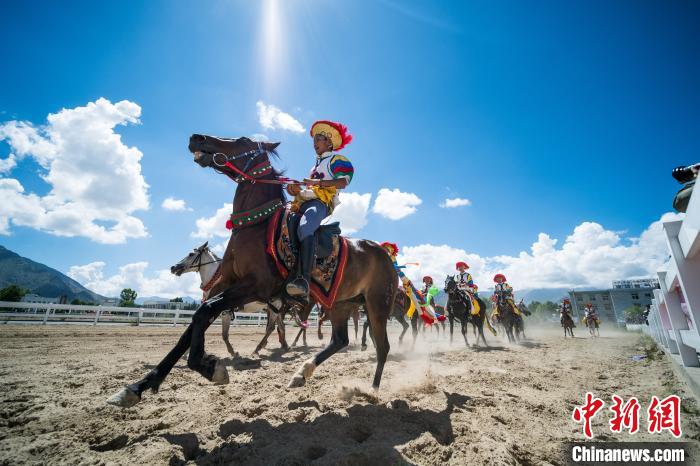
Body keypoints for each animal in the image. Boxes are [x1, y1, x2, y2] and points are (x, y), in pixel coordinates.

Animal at [106, 136, 396, 408]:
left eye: (242, 141)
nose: (197, 137)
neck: (256, 225)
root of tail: (385, 255)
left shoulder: (254, 287)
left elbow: (204, 312)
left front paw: (210, 367)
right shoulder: (228, 284)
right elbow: (194, 323)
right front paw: (139, 386)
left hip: (376, 306)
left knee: (382, 347)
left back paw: (371, 390)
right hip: (339, 304)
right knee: (339, 341)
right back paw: (301, 373)